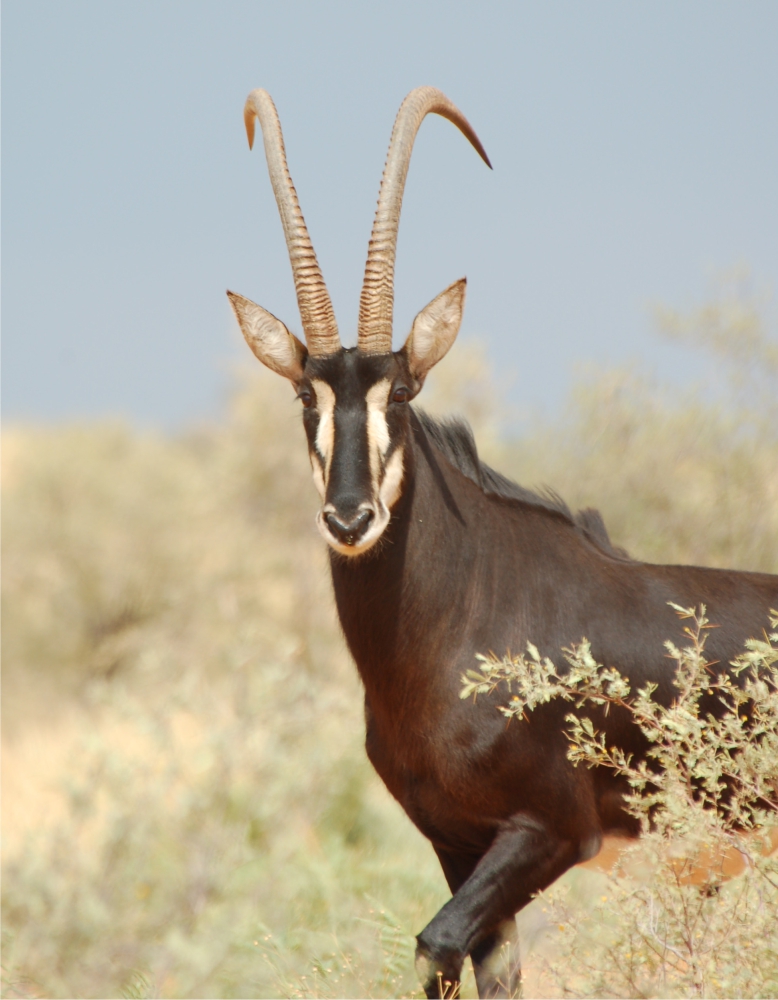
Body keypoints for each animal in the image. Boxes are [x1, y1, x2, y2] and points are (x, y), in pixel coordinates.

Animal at [226, 88, 776, 1000]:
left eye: (401, 390)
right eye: (306, 395)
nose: (350, 519)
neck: (457, 620)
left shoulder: (548, 832)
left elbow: (433, 944)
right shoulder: (459, 844)